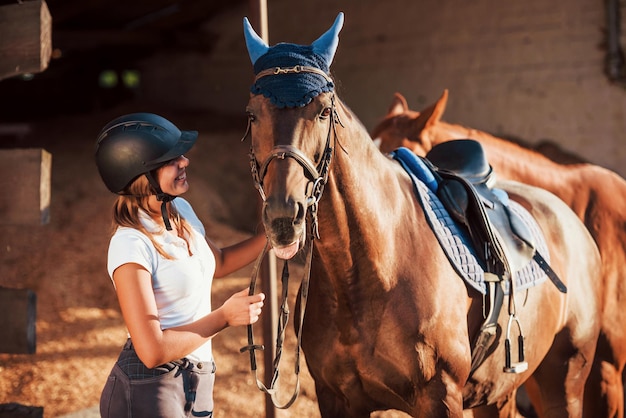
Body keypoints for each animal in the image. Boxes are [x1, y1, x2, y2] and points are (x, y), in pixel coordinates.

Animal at [243, 13, 600, 418]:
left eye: (323, 111)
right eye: (252, 115)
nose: (284, 215)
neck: (374, 268)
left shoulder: (440, 397)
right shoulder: (336, 398)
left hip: (565, 381)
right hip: (499, 391)